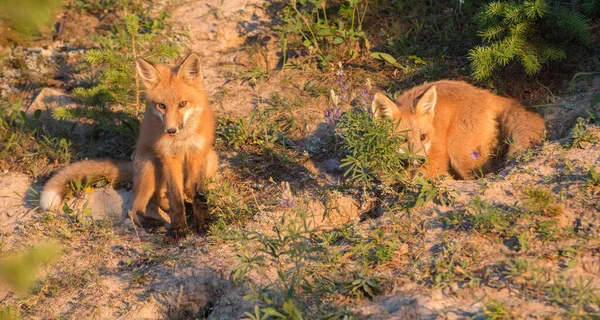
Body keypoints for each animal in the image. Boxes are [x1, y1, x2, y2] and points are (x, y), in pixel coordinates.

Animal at [40, 53, 218, 238]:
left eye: (183, 104)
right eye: (161, 106)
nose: (170, 130)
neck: (182, 140)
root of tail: (134, 164)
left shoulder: (197, 154)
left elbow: (198, 196)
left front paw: (203, 221)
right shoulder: (169, 158)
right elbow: (176, 200)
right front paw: (179, 227)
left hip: (211, 159)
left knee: (176, 193)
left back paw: (190, 206)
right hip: (151, 167)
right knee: (138, 207)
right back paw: (153, 221)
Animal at [370, 79, 544, 179]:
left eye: (423, 137)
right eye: (403, 140)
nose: (421, 160)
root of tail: (484, 94)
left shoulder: (438, 160)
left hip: (460, 155)